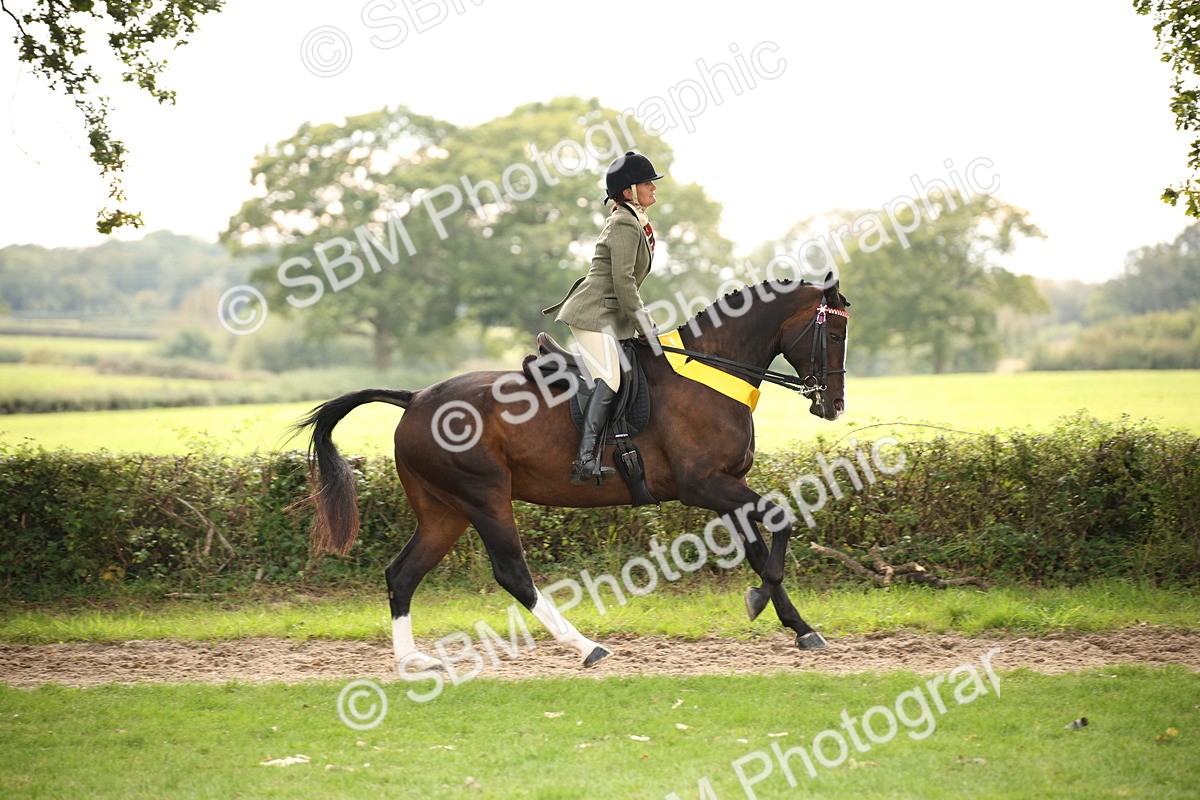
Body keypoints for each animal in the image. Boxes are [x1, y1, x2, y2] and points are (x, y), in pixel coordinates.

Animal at [294, 275, 850, 673]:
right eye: (834, 332)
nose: (834, 405)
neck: (711, 371)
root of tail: (414, 399)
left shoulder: (726, 488)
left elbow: (758, 549)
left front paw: (798, 626)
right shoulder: (706, 485)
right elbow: (779, 523)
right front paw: (761, 600)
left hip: (443, 511)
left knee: (402, 574)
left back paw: (412, 659)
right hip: (483, 498)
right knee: (512, 573)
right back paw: (586, 647)